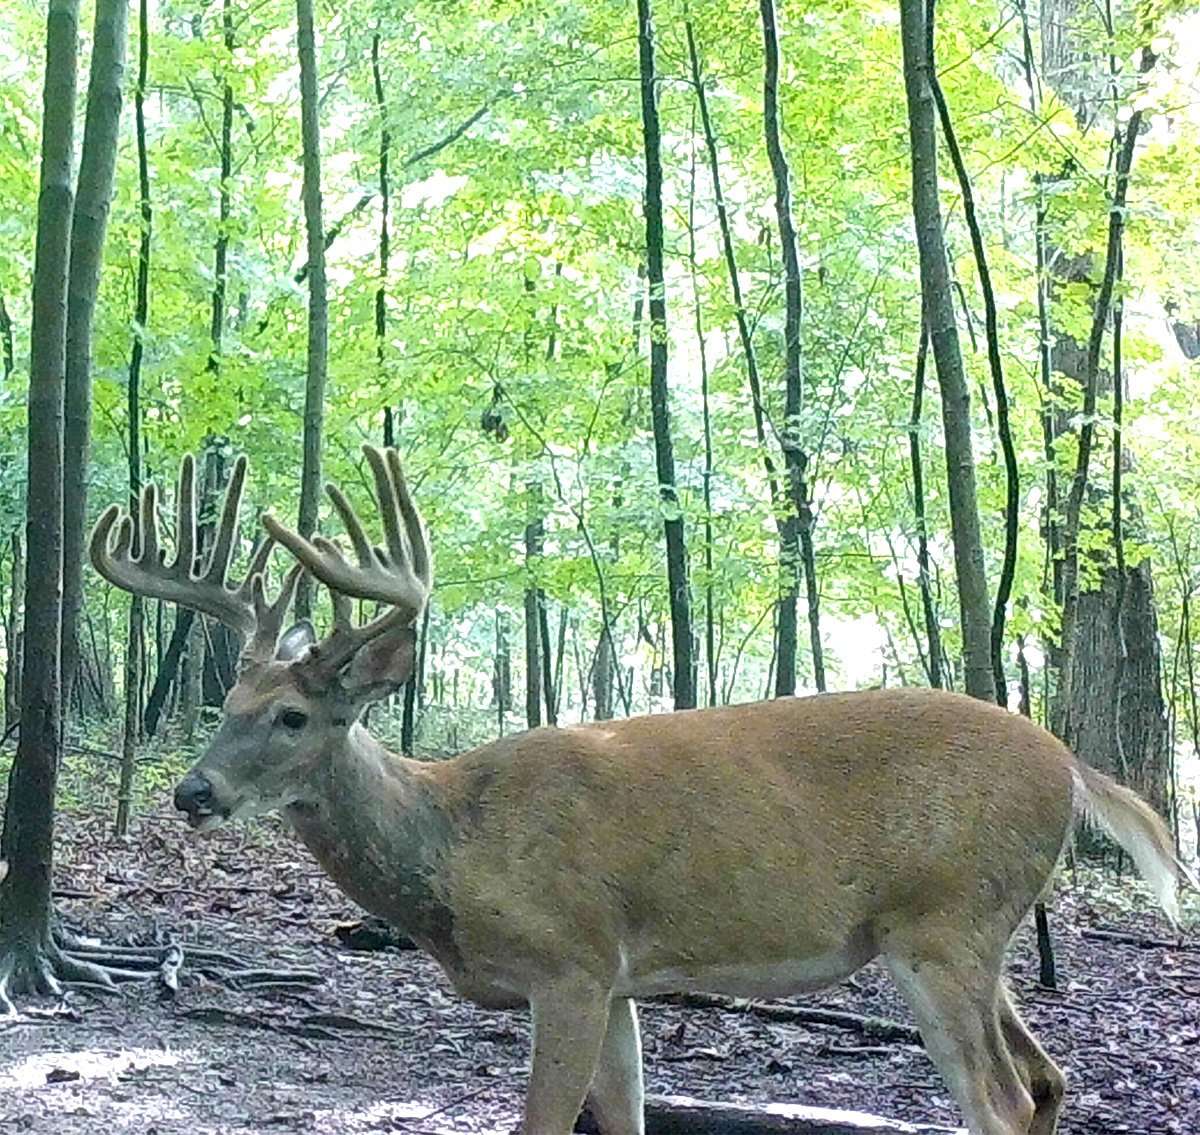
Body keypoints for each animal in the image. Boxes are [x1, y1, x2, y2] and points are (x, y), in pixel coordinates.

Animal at [88, 446, 1195, 1132]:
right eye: (225, 698)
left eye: (293, 716)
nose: (192, 792)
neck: (454, 844)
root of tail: (1069, 764)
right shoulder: (621, 979)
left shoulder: (571, 957)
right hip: (977, 928)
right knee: (1047, 1081)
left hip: (941, 919)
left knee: (999, 1102)